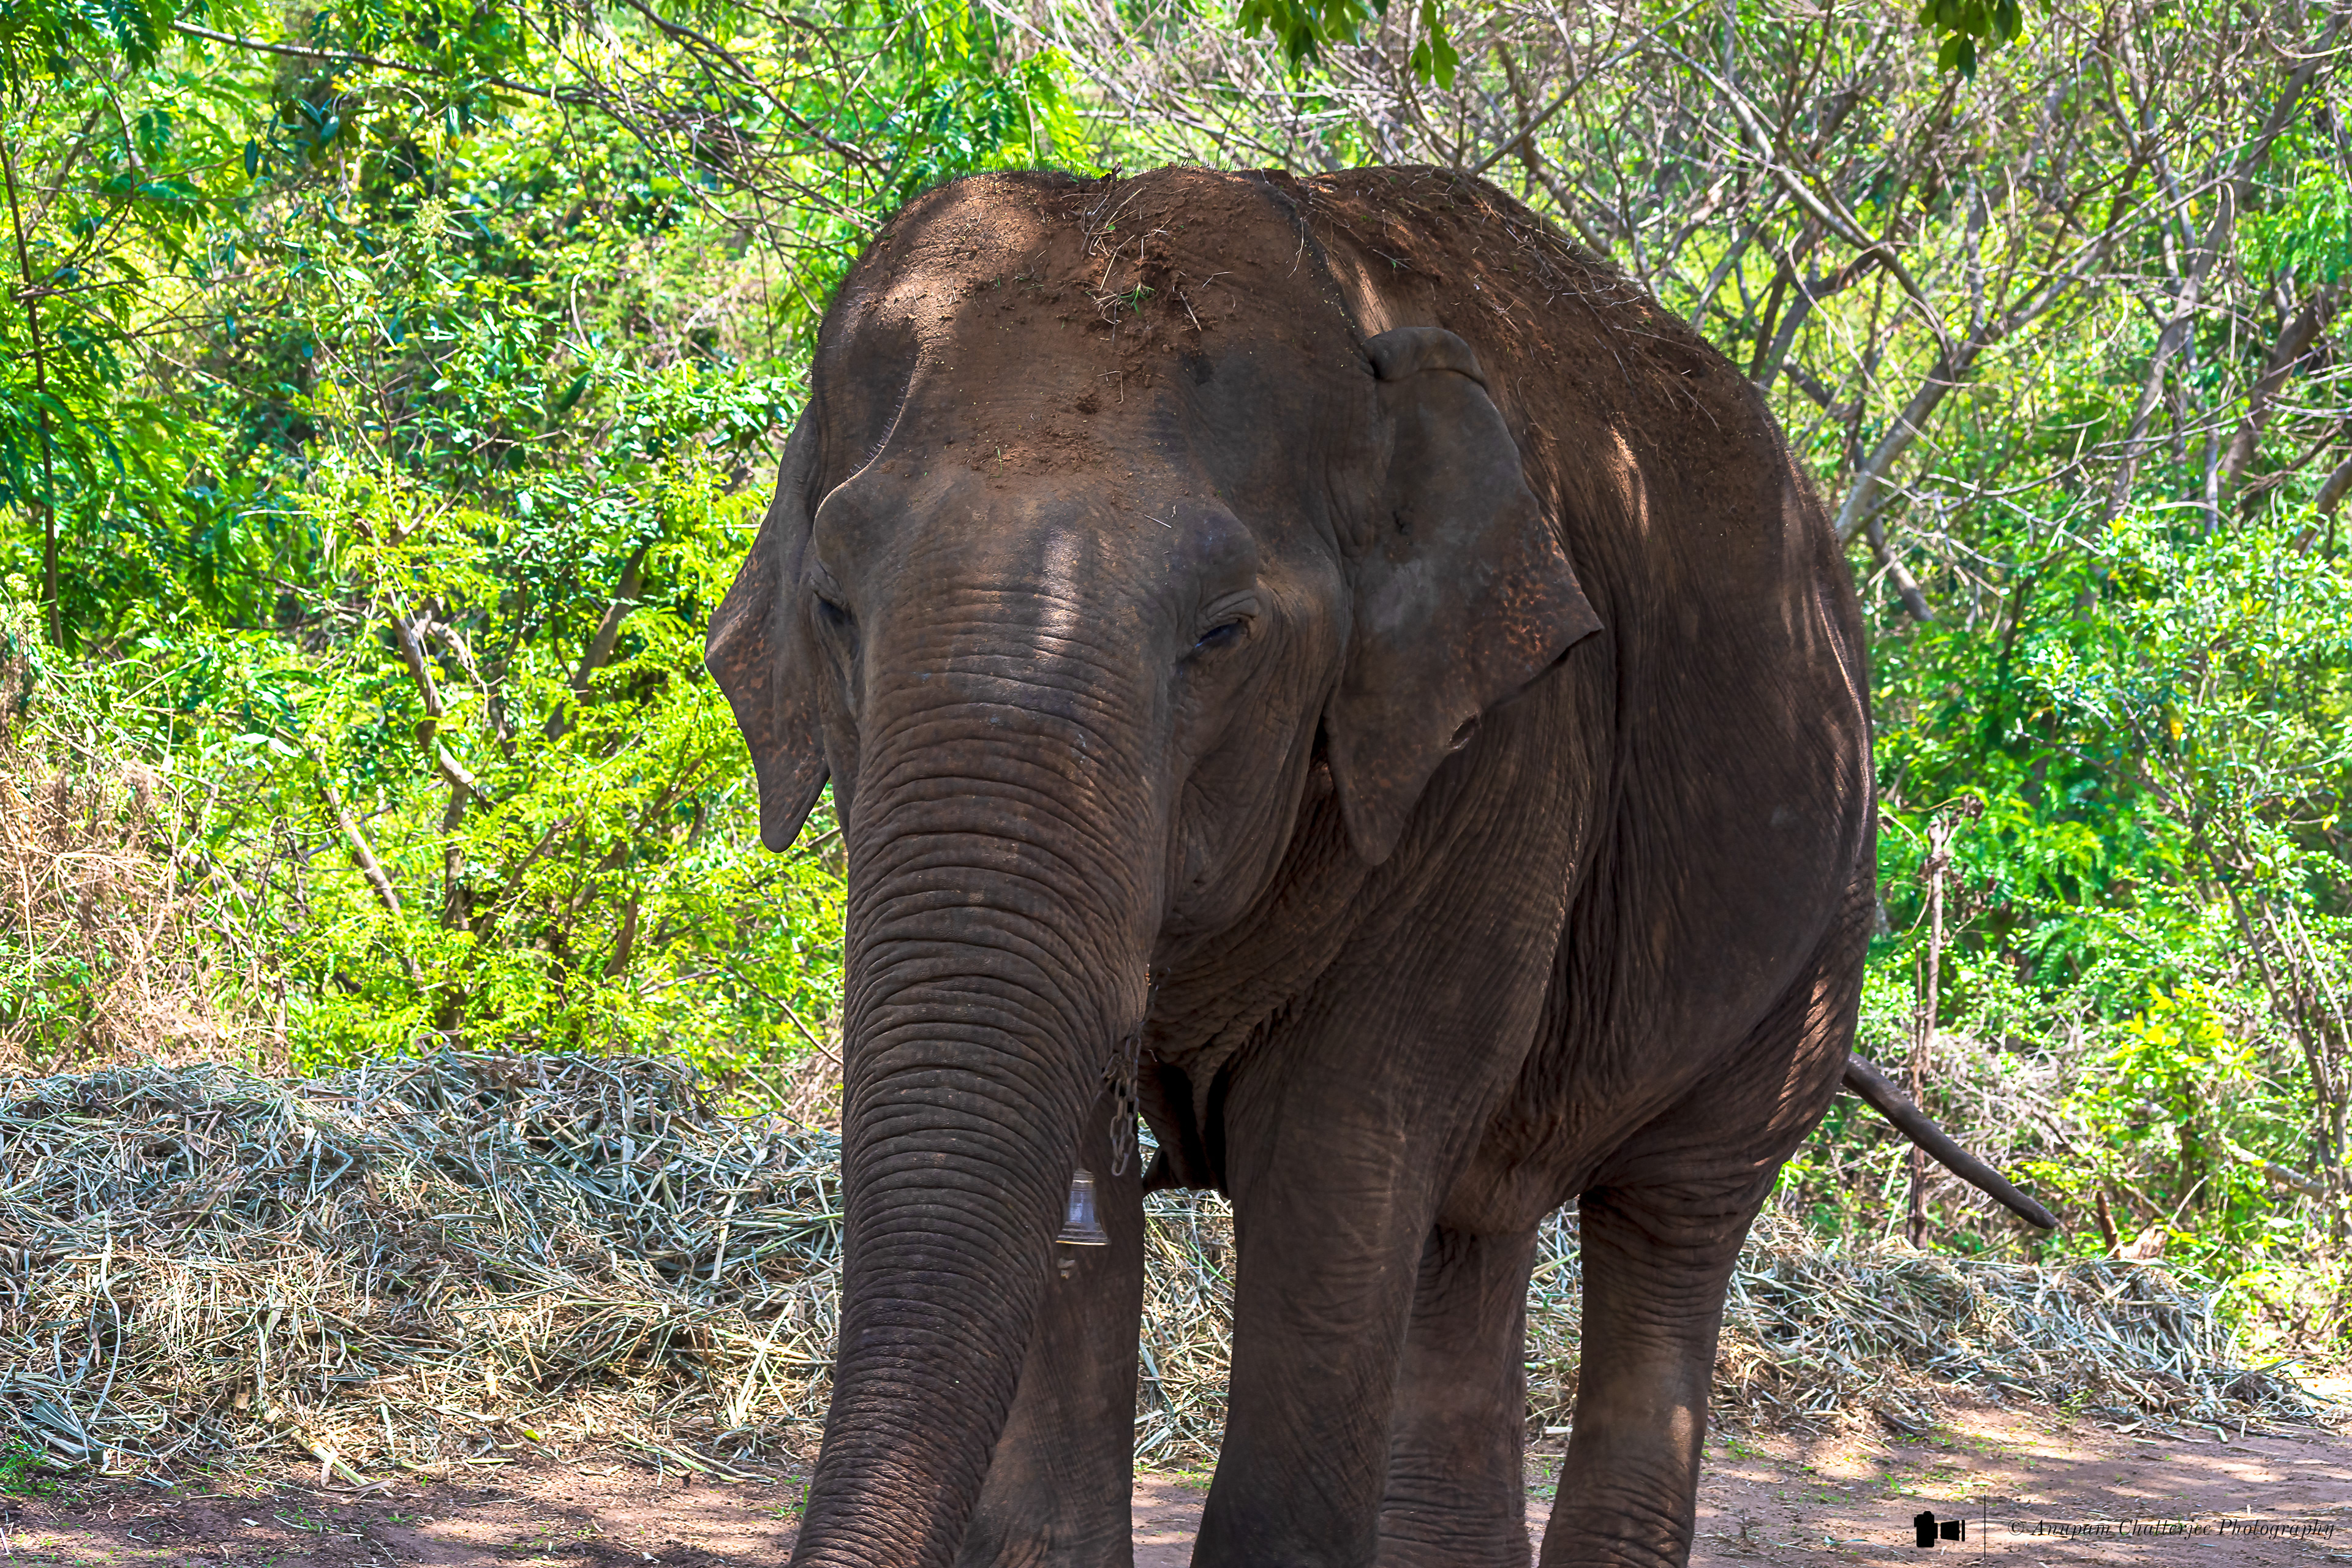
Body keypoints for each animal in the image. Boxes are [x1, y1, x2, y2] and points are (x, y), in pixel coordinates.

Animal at [707, 163, 2010, 1568]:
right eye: (834, 605)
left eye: (1224, 632)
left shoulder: (1505, 748)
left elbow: (1337, 1151)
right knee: (1473, 1237)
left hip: (1819, 930)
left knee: (1669, 1228)